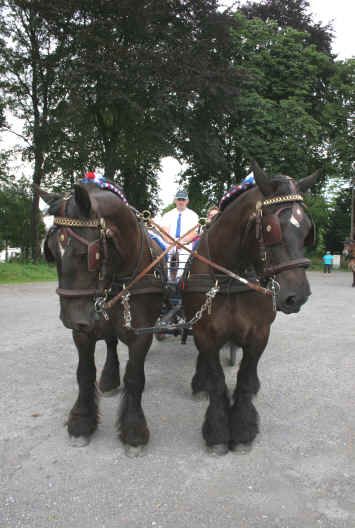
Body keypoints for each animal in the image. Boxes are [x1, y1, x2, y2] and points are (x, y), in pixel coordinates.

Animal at [40, 182, 165, 454]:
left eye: (87, 253)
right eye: (51, 251)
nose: (70, 319)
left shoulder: (142, 334)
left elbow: (135, 377)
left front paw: (133, 429)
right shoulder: (83, 331)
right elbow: (84, 373)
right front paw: (81, 421)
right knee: (110, 342)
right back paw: (109, 379)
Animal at [182, 163, 318, 456]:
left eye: (306, 229)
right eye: (270, 228)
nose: (297, 296)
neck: (230, 276)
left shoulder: (259, 333)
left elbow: (244, 379)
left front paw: (243, 430)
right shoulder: (204, 332)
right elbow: (217, 381)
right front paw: (218, 432)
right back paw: (201, 383)